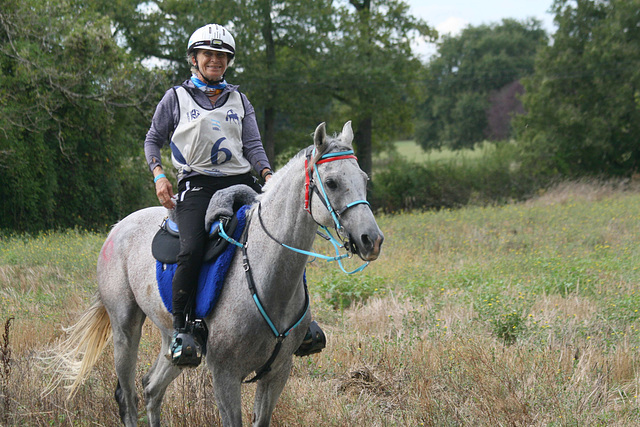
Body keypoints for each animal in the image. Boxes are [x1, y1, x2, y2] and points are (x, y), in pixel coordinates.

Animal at [47, 122, 384, 426]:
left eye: (364, 179)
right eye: (332, 182)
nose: (372, 240)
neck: (268, 275)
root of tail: (118, 227)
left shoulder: (278, 373)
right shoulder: (225, 375)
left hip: (174, 342)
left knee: (151, 390)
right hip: (125, 329)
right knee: (127, 397)